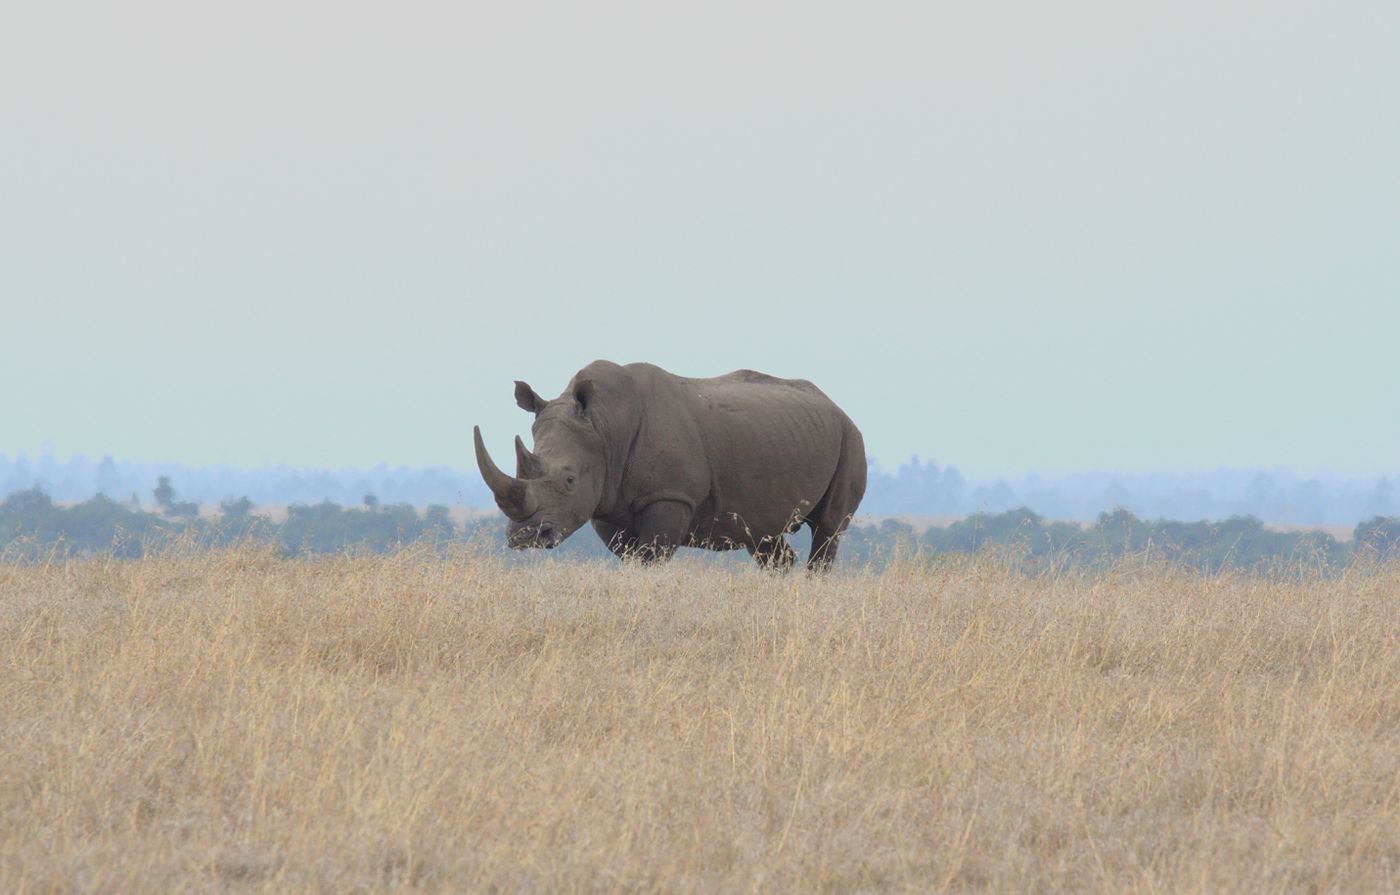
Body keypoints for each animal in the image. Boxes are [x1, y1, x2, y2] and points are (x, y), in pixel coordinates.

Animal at [473, 360, 866, 569]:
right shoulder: (607, 502)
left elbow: (651, 557)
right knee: (763, 537)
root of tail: (836, 406)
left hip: (850, 438)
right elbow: (632, 558)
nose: (524, 537)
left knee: (828, 529)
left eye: (569, 480)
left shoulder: (671, 495)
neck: (602, 426)